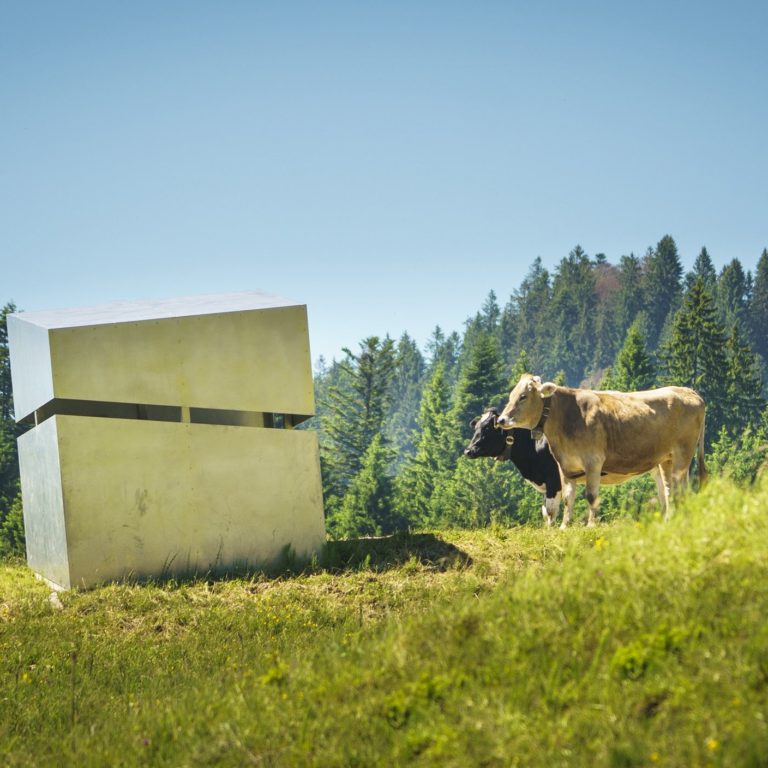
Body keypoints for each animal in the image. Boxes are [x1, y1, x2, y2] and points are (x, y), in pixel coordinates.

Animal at [496, 374, 704, 528]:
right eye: (511, 395)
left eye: (523, 396)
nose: (501, 420)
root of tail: (689, 391)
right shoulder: (564, 465)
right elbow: (568, 497)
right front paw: (565, 526)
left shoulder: (593, 461)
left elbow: (591, 496)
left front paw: (590, 525)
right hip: (666, 459)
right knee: (670, 492)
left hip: (682, 456)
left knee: (681, 490)